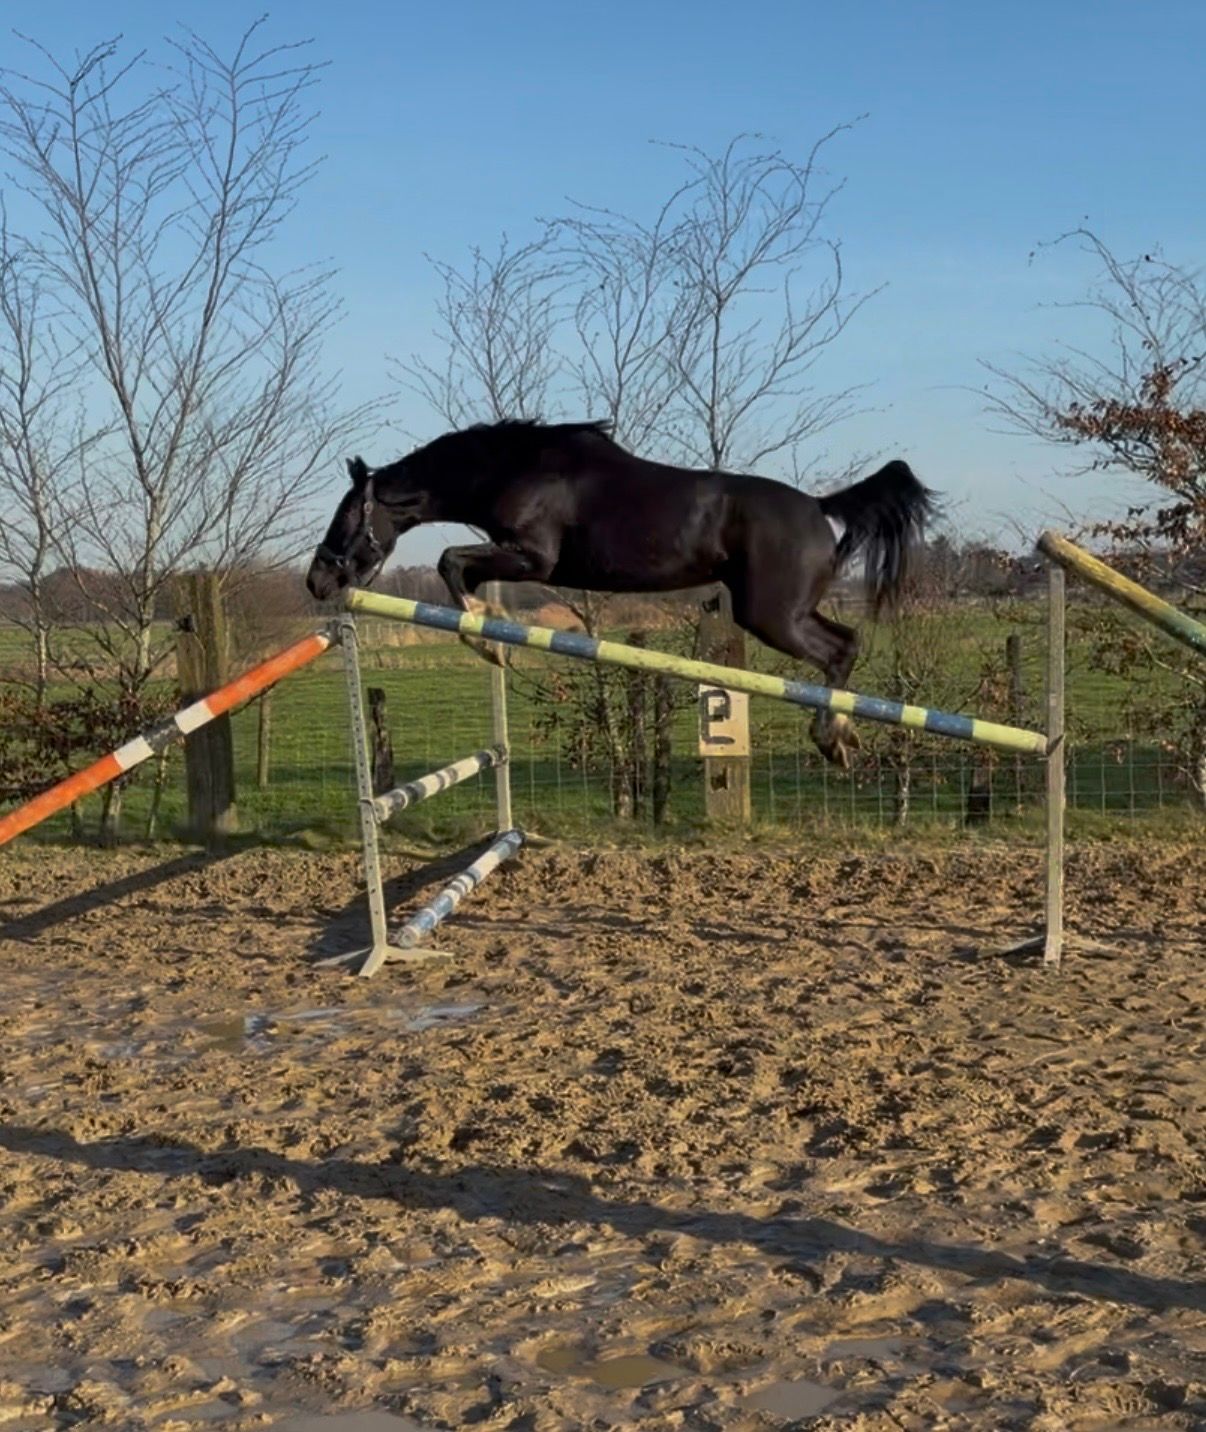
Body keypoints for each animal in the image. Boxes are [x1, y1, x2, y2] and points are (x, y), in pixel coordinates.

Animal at [306, 420, 936, 768]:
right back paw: (842, 736)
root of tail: (820, 507)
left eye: (347, 514)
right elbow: (463, 574)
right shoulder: (516, 557)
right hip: (787, 612)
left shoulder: (535, 557)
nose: (317, 581)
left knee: (839, 651)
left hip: (772, 615)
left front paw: (487, 641)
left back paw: (833, 740)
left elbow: (450, 563)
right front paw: (490, 630)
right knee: (846, 642)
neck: (514, 469)